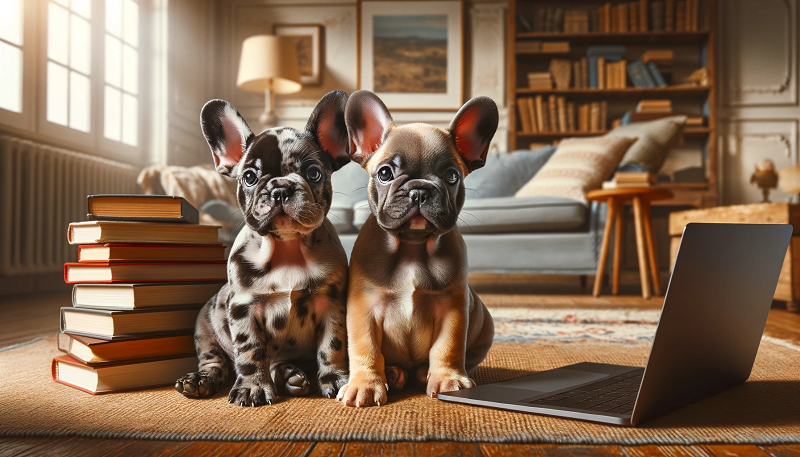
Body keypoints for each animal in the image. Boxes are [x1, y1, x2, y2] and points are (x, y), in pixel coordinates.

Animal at [178, 90, 354, 406]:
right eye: (249, 177)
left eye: (313, 173)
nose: (280, 188)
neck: (287, 248)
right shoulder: (243, 308)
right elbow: (250, 351)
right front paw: (252, 387)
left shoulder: (331, 303)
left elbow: (332, 345)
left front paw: (336, 380)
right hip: (205, 327)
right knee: (216, 362)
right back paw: (200, 381)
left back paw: (291, 376)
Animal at [340, 90, 500, 406]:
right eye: (385, 173)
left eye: (452, 176)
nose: (419, 190)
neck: (411, 247)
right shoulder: (363, 308)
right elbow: (365, 348)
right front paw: (365, 384)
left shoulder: (453, 308)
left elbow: (448, 346)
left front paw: (448, 379)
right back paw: (392, 374)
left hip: (483, 323)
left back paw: (423, 371)